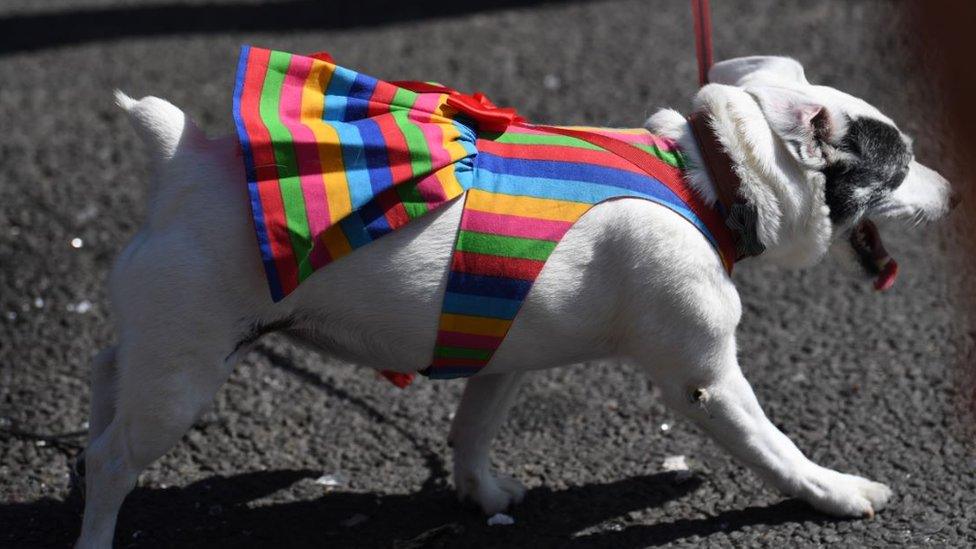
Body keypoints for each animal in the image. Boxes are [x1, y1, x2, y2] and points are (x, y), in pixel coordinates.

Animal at [74, 57, 952, 544]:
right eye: (900, 165)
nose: (953, 191)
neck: (707, 178)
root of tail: (182, 159)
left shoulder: (503, 351)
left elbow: (471, 429)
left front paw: (484, 496)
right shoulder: (706, 380)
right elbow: (777, 450)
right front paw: (838, 492)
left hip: (160, 346)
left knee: (106, 381)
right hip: (184, 376)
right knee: (117, 457)